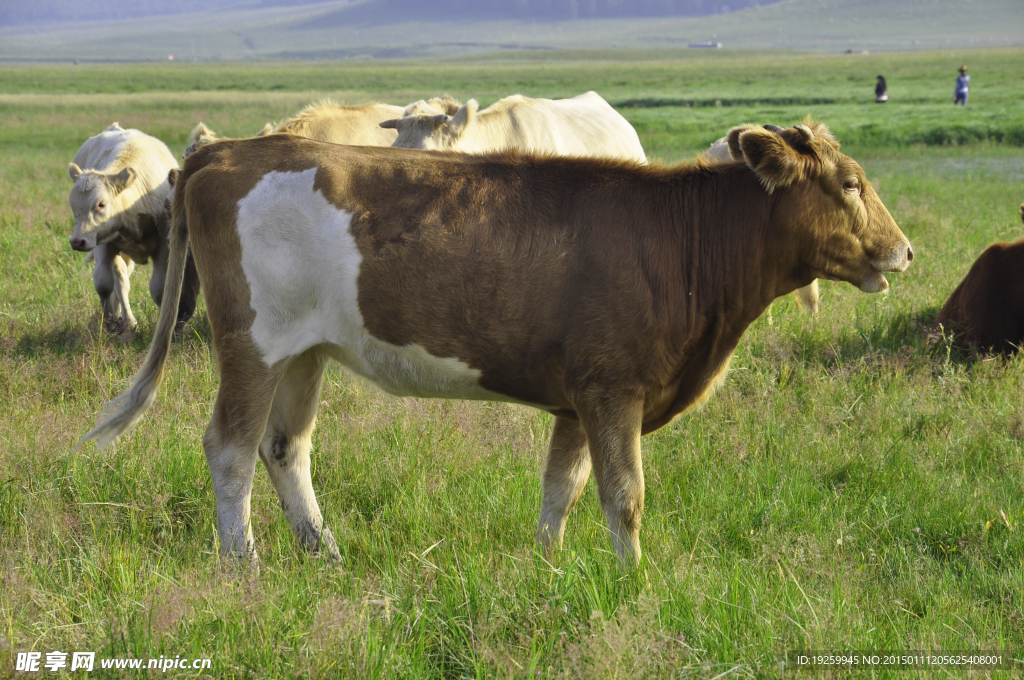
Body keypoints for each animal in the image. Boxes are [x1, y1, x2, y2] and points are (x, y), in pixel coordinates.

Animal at [66, 125, 199, 333]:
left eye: (101, 204)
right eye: (73, 206)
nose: (77, 241)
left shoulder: (164, 245)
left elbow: (159, 288)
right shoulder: (103, 243)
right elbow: (104, 283)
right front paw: (110, 322)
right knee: (121, 281)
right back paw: (128, 320)